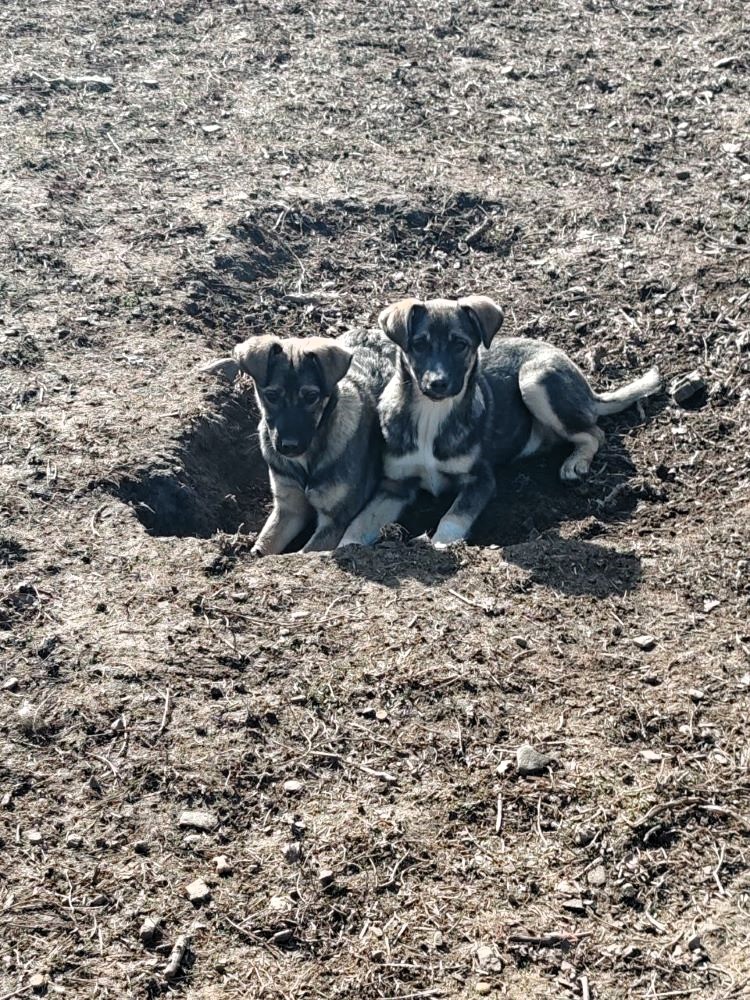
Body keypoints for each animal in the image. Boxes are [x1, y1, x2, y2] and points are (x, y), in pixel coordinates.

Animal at [203, 332, 396, 560]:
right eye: (271, 396)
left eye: (311, 397)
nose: (289, 446)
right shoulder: (288, 510)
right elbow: (263, 546)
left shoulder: (334, 522)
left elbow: (304, 552)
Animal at [342, 292, 664, 552]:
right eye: (419, 345)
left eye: (460, 345)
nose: (438, 384)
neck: (432, 415)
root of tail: (586, 386)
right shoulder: (395, 485)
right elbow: (360, 521)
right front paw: (345, 548)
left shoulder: (481, 480)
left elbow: (453, 516)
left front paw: (441, 544)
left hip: (534, 379)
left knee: (594, 431)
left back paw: (575, 463)